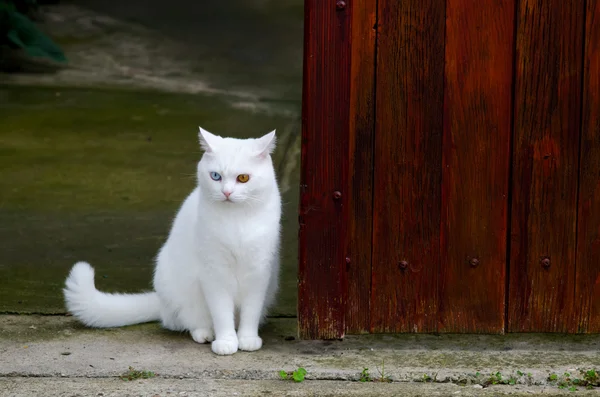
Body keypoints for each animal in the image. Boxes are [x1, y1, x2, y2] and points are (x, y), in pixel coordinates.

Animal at [62, 127, 282, 356]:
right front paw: (226, 341)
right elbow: (221, 312)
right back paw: (204, 333)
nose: (227, 192)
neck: (237, 220)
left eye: (243, 178)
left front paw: (247, 339)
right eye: (215, 176)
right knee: (186, 321)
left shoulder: (259, 271)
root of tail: (160, 302)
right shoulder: (214, 272)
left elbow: (251, 311)